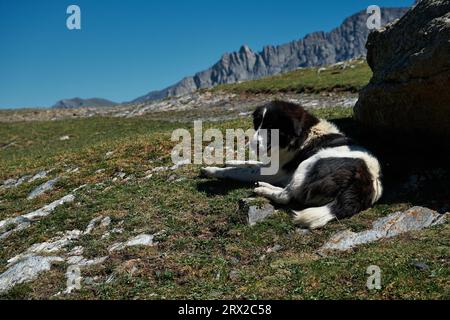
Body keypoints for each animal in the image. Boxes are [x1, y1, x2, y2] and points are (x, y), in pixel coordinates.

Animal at [202, 101, 382, 229]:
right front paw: (229, 161)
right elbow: (248, 163)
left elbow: (238, 171)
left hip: (308, 164)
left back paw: (262, 189)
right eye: (258, 124)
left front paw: (212, 170)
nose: (252, 144)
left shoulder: (275, 170)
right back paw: (263, 185)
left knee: (287, 196)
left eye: (271, 128)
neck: (302, 134)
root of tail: (366, 182)